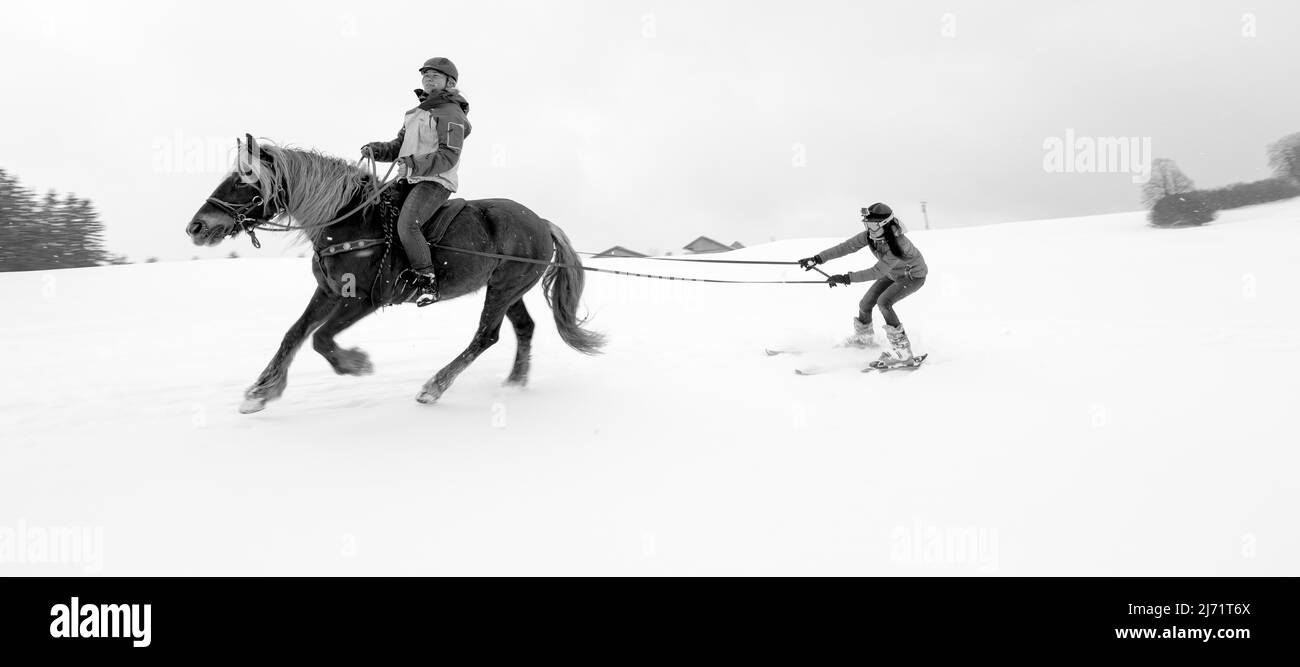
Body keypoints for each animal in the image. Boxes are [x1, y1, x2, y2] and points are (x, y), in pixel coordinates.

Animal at [188, 133, 603, 410]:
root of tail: (542, 223)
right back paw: (515, 382)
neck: (349, 220)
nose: (196, 226)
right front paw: (261, 392)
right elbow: (294, 335)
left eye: (243, 179)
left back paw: (435, 386)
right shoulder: (330, 292)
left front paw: (356, 363)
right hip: (508, 289)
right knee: (524, 329)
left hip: (503, 289)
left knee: (486, 336)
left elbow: (321, 339)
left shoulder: (365, 299)